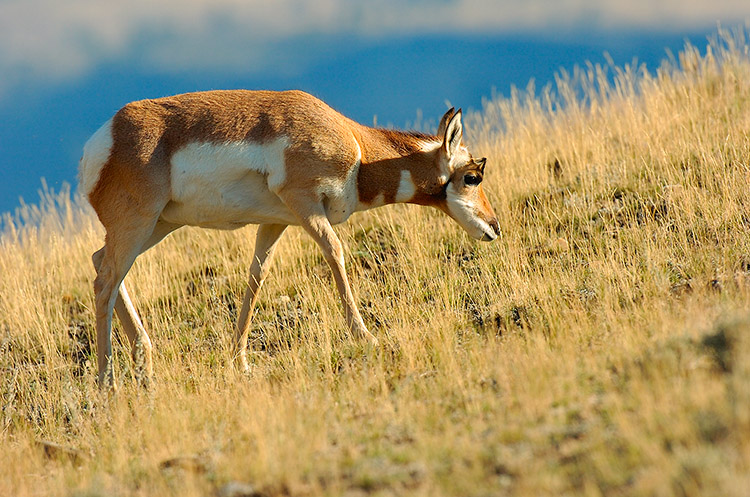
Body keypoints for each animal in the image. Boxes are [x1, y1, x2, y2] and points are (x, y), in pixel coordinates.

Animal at [81, 90, 500, 388]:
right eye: (472, 177)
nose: (494, 227)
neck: (355, 146)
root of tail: (104, 139)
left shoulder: (275, 223)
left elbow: (256, 277)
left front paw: (240, 362)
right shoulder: (304, 203)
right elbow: (336, 252)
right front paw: (364, 334)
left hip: (159, 225)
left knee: (102, 262)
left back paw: (145, 362)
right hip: (139, 223)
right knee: (105, 281)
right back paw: (107, 383)